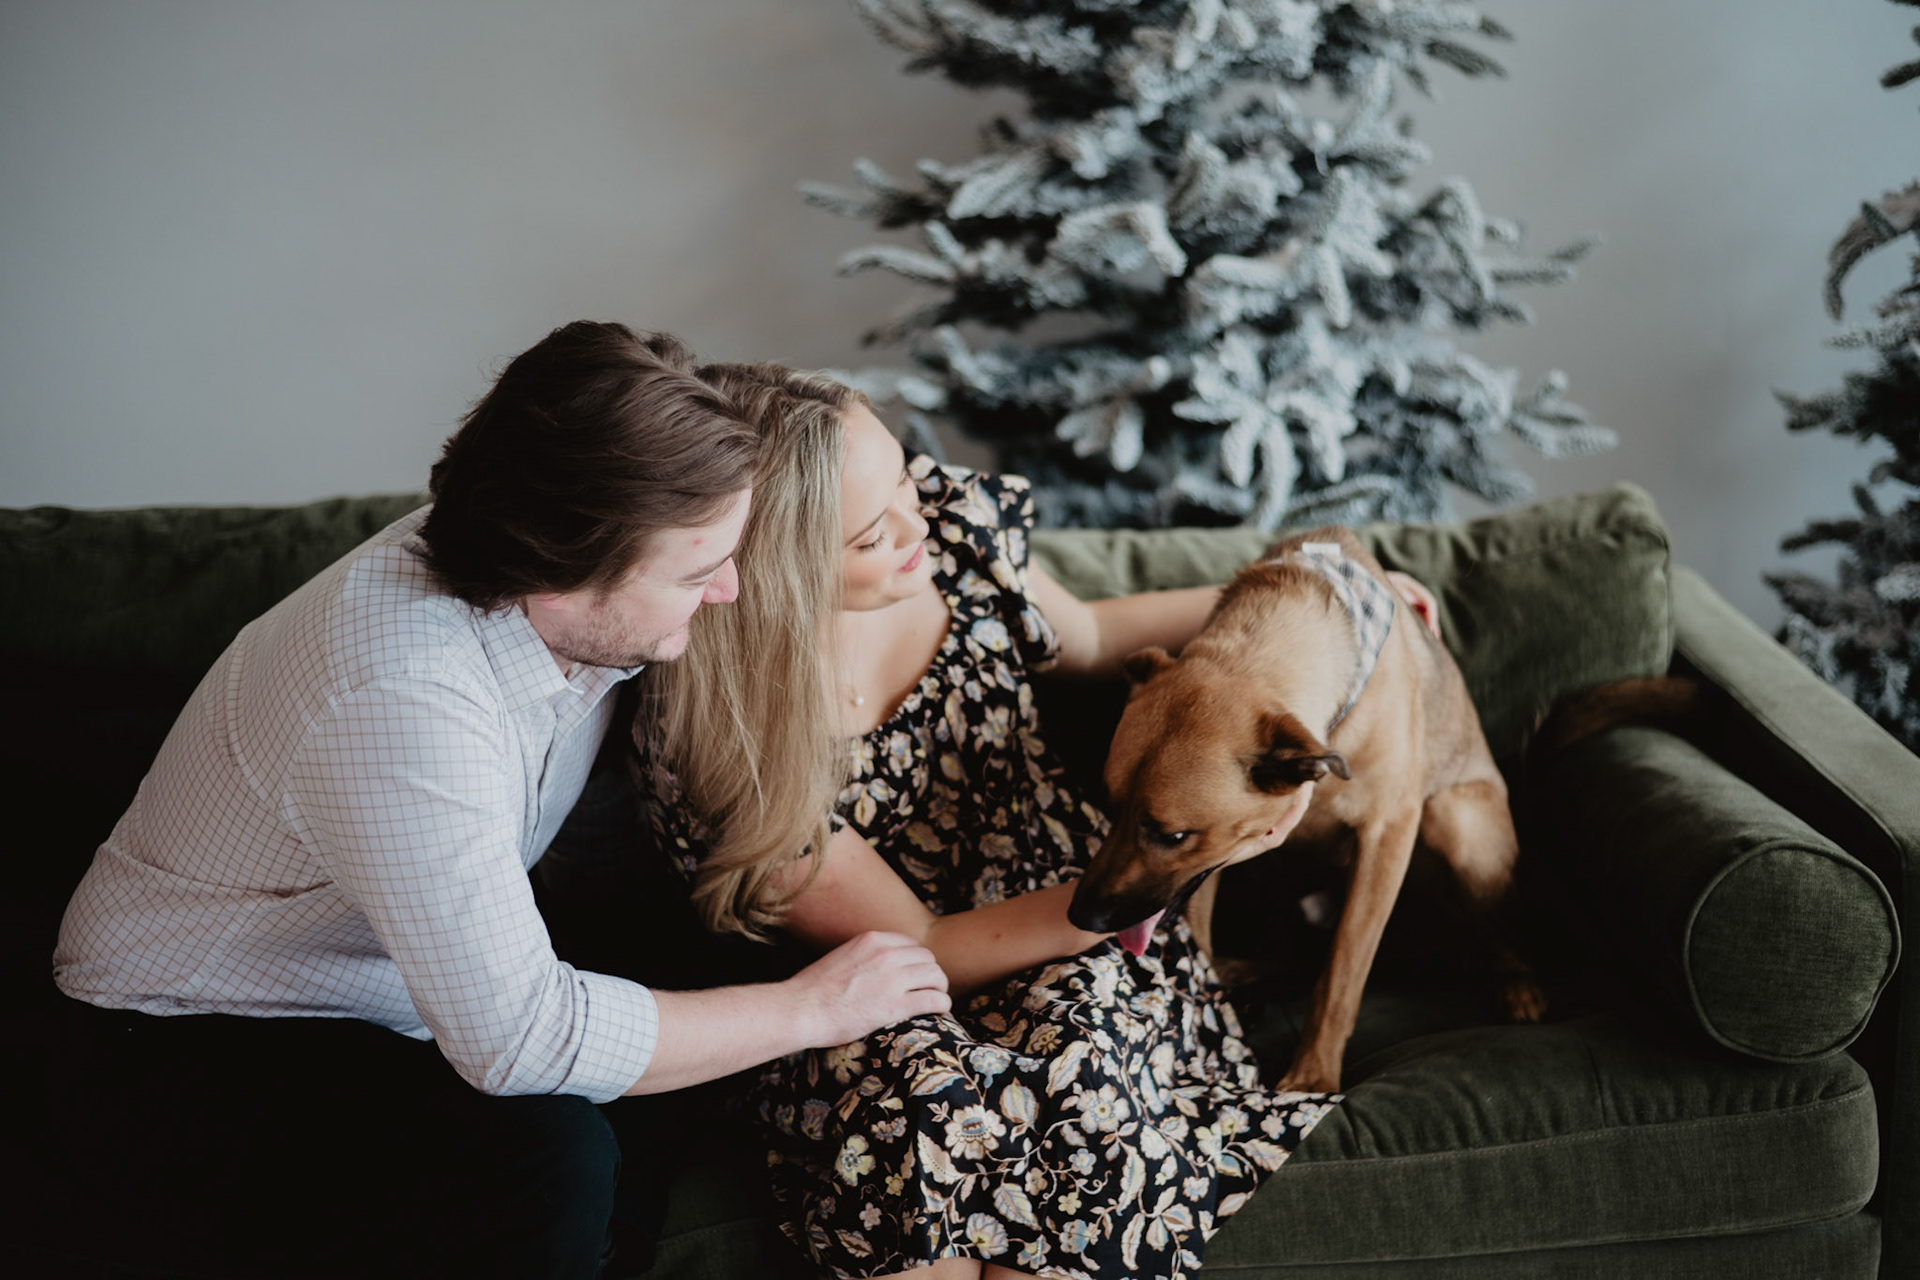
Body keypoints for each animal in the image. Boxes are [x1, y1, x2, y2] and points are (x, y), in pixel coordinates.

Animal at [1067, 526, 1541, 1094]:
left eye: (1173, 835)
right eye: (1109, 806)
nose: (1080, 916)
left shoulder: (1387, 834)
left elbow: (1341, 974)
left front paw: (1312, 1077)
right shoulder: (1220, 864)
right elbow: (1202, 943)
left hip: (1453, 822)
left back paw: (1518, 984)